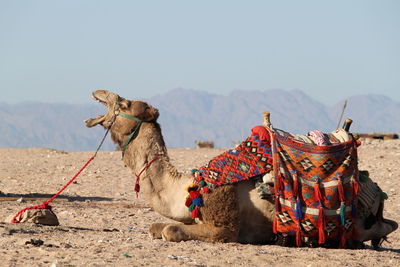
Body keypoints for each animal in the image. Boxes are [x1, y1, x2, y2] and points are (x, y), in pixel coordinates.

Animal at [85, 90, 396, 249]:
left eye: (124, 102)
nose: (98, 92)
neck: (186, 189)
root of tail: (374, 190)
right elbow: (156, 227)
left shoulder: (225, 225)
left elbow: (171, 230)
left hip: (356, 221)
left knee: (384, 226)